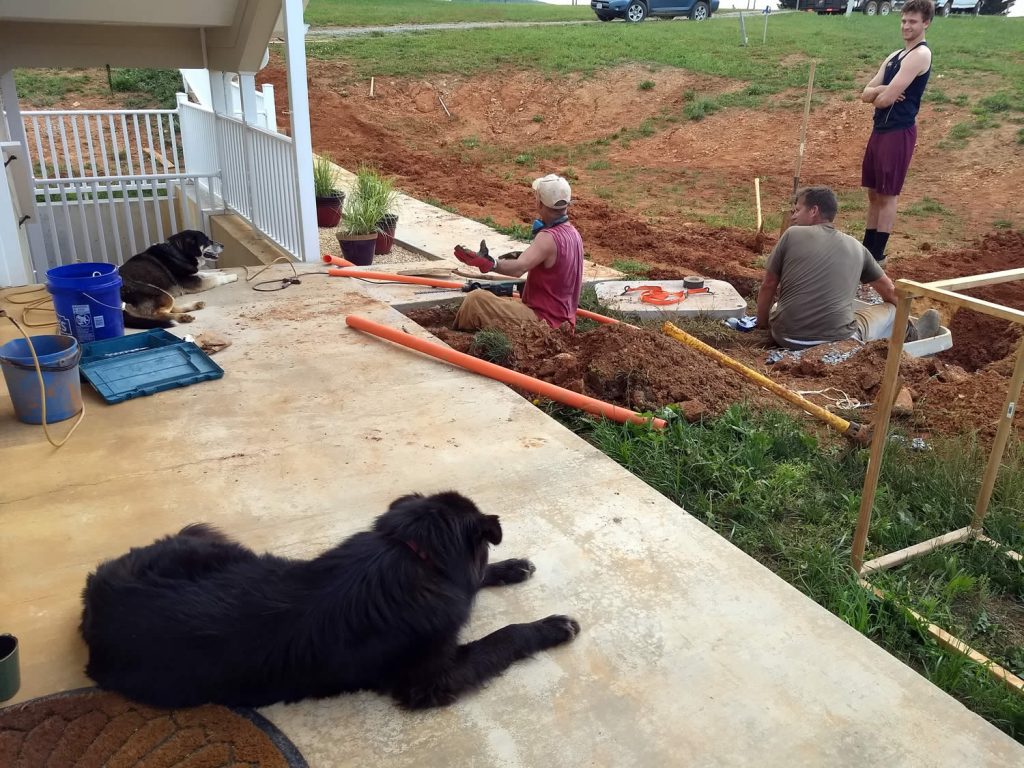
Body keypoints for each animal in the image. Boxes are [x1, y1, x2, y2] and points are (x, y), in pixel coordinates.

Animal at [79, 493, 577, 708]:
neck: (410, 552)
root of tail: (97, 591)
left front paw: (510, 568)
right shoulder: (430, 680)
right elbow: (503, 637)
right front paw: (549, 627)